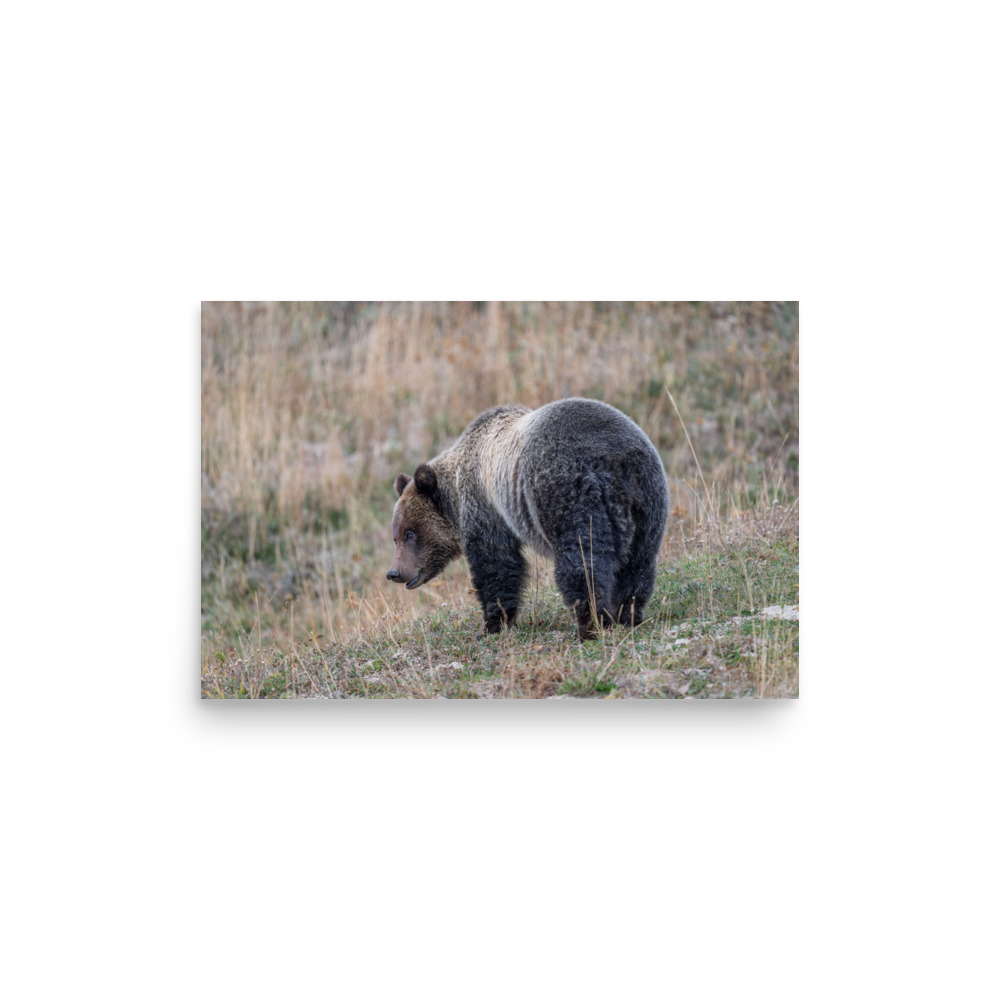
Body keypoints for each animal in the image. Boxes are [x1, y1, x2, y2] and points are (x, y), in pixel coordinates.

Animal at [385, 397, 669, 640]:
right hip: (648, 502)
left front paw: (493, 624)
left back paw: (590, 625)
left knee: (583, 562)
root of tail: (615, 460)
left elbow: (497, 565)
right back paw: (627, 615)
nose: (394, 572)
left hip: (569, 493)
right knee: (638, 564)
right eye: (395, 537)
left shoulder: (486, 508)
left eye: (410, 533)